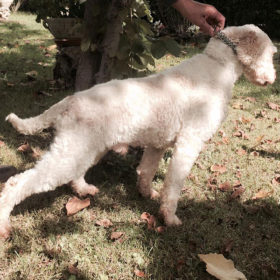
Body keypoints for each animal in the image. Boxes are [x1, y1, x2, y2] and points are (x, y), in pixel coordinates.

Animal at [0, 24, 276, 238]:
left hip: (85, 148)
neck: (216, 67)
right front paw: (169, 218)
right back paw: (4, 225)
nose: (272, 79)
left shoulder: (157, 144)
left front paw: (148, 194)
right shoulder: (189, 144)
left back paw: (84, 190)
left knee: (75, 174)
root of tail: (69, 101)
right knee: (16, 183)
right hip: (71, 152)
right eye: (271, 54)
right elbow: (173, 185)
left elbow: (146, 171)